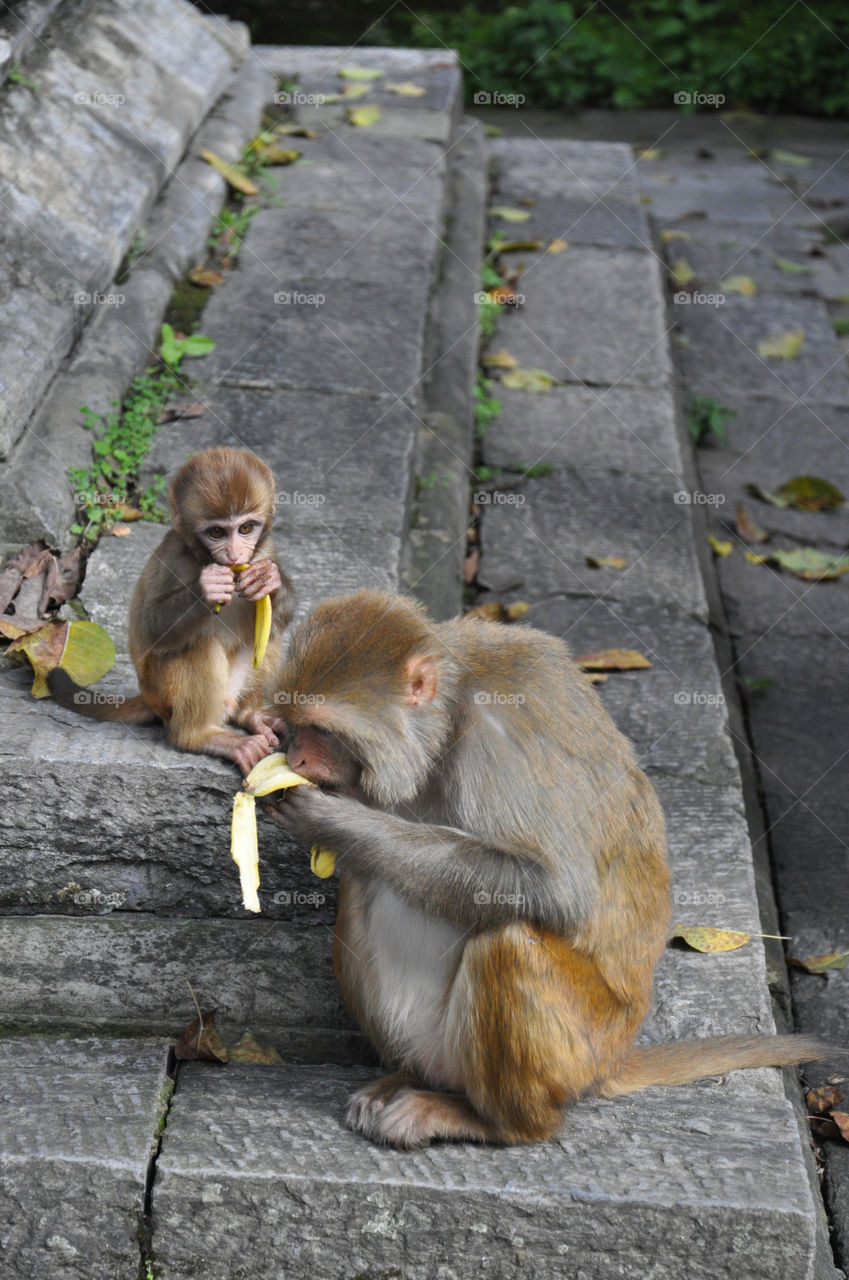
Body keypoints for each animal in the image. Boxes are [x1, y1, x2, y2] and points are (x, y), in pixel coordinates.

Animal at [51, 445, 295, 773]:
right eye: (217, 533)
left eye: (245, 528)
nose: (234, 555)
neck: (202, 556)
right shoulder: (173, 557)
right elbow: (152, 626)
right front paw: (206, 589)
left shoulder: (265, 549)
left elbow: (280, 616)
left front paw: (268, 580)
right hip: (164, 694)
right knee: (198, 643)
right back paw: (201, 736)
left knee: (268, 633)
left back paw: (251, 714)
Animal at [270, 588, 834, 1152]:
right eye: (293, 726)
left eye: (321, 731)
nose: (295, 759)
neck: (449, 717)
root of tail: (612, 1060)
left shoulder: (501, 740)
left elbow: (556, 889)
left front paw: (335, 822)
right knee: (364, 884)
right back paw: (411, 1079)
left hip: (579, 1053)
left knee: (507, 940)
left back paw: (494, 1122)